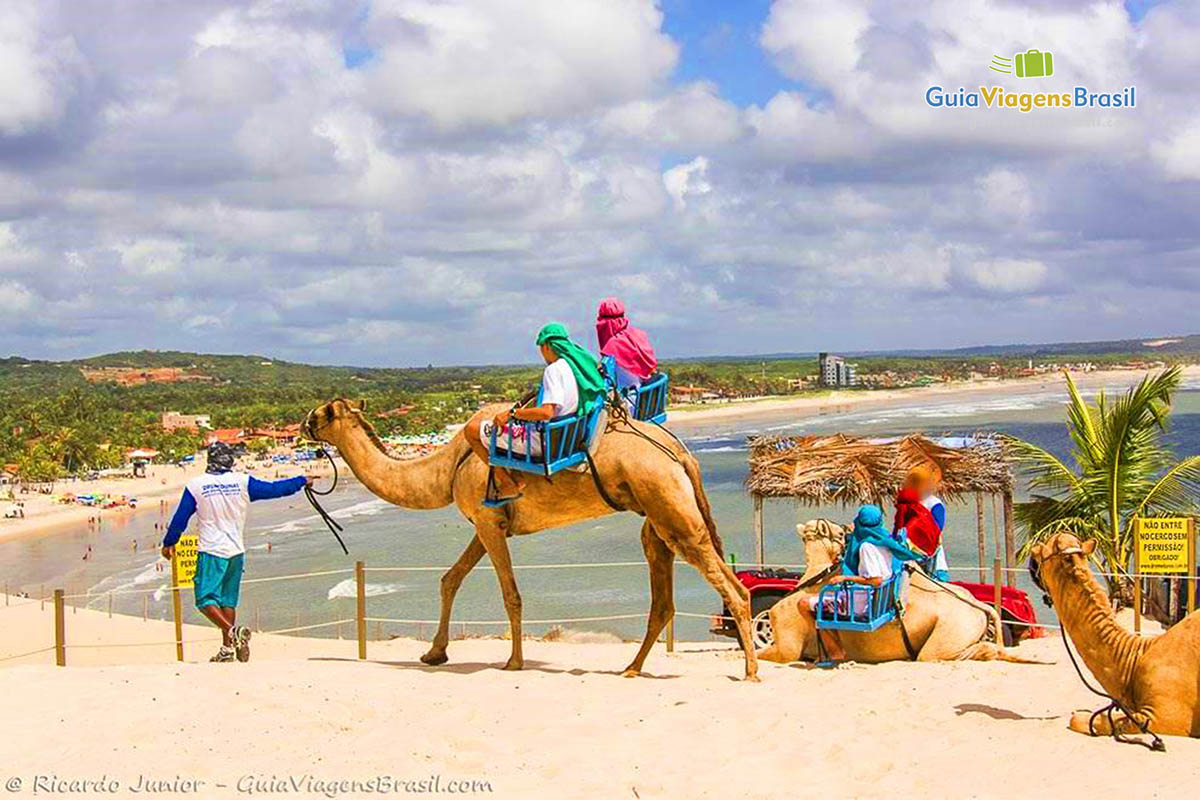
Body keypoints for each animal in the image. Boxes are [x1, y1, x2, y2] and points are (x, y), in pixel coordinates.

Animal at [300, 400, 758, 681]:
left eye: (322, 413)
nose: (305, 425)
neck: (446, 470)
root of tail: (681, 453)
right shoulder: (486, 524)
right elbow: (450, 579)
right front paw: (434, 654)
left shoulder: (488, 522)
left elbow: (511, 594)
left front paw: (514, 661)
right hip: (658, 516)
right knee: (663, 598)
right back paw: (630, 668)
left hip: (669, 503)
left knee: (733, 587)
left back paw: (751, 671)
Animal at [758, 520, 1032, 662]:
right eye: (839, 530)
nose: (847, 530)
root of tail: (978, 606)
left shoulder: (787, 645)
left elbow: (771, 654)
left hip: (953, 628)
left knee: (940, 655)